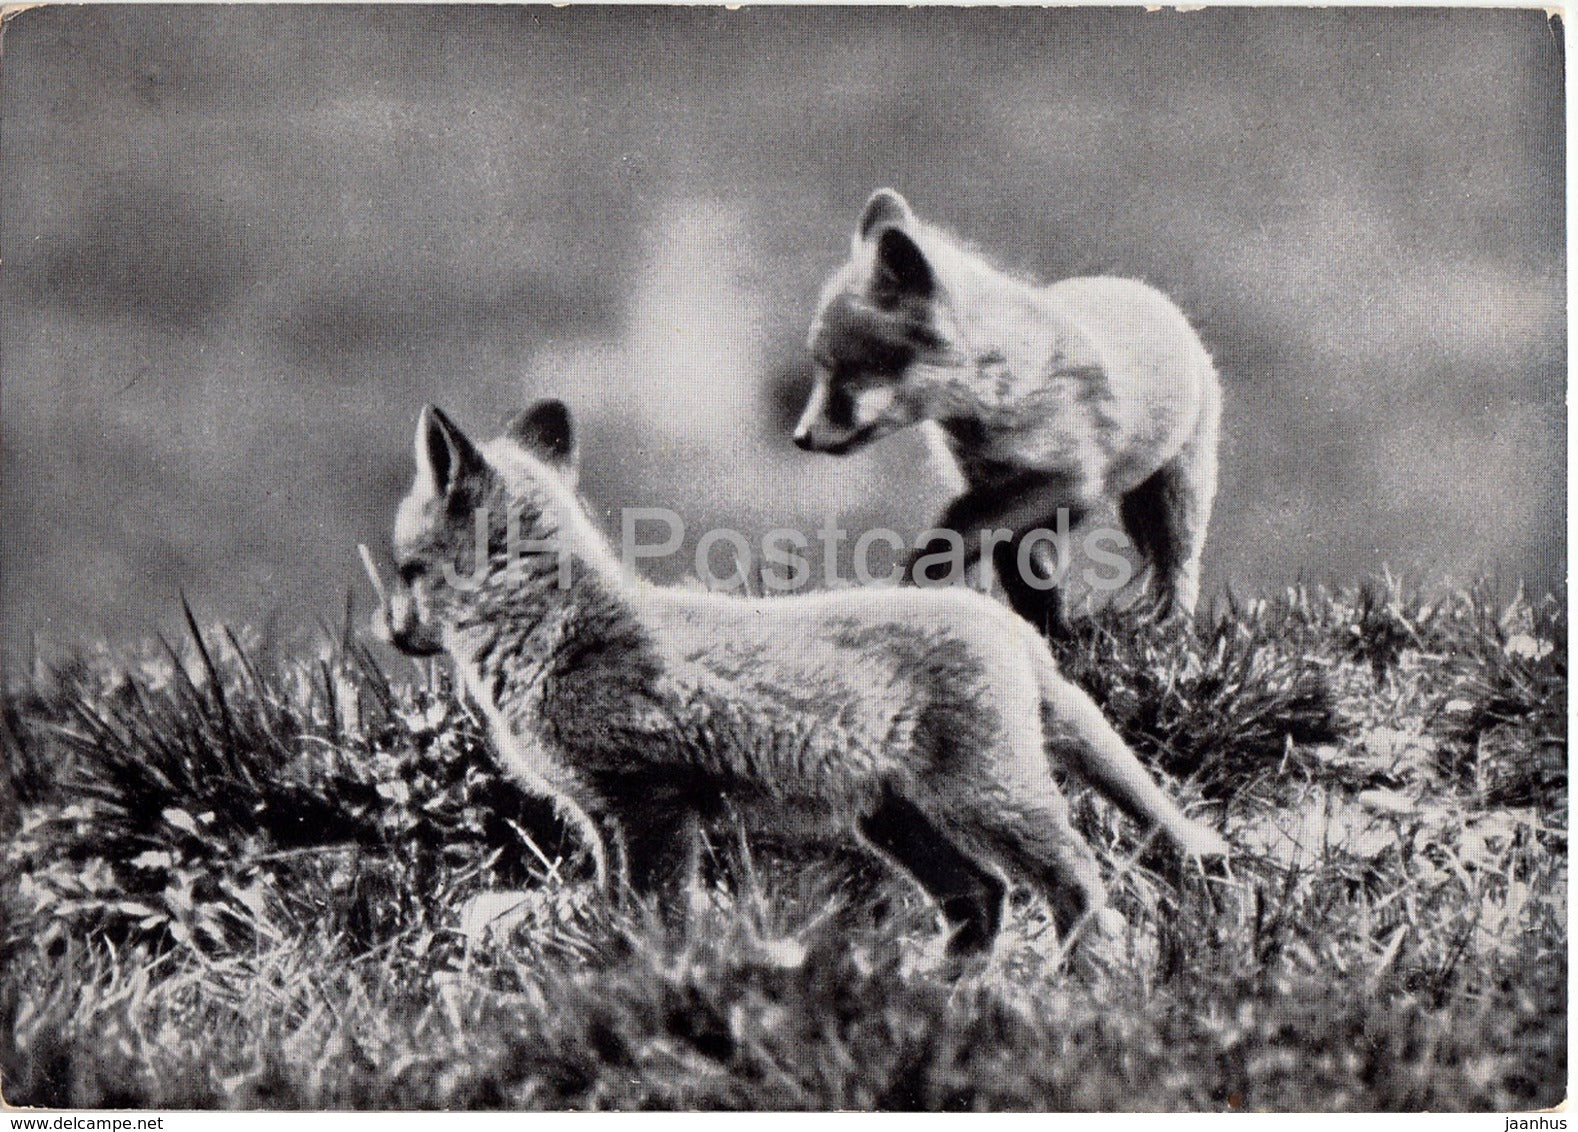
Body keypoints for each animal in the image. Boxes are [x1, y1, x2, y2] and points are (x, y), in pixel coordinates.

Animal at [368, 399, 1228, 960]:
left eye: (407, 571)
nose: (388, 631)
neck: (557, 637)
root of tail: (1014, 629)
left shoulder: (653, 803)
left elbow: (659, 918)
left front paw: (649, 976)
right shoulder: (603, 816)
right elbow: (619, 909)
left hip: (986, 801)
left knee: (1077, 882)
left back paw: (1081, 977)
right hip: (893, 821)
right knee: (982, 900)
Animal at [793, 188, 1222, 631]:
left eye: (847, 371)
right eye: (821, 368)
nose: (800, 438)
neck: (1001, 390)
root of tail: (1147, 292)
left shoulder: (1068, 479)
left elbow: (955, 529)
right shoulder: (989, 481)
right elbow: (1023, 573)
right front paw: (1049, 630)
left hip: (1178, 493)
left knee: (1177, 566)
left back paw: (1169, 621)